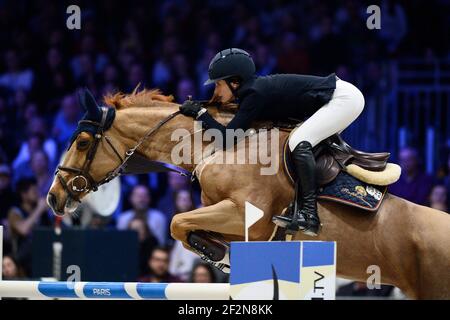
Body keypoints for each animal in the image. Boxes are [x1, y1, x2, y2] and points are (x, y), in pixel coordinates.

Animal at [48, 89, 450, 298]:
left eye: (82, 142)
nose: (53, 197)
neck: (219, 145)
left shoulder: (248, 216)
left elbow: (177, 222)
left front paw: (215, 253)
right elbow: (185, 226)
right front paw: (215, 249)